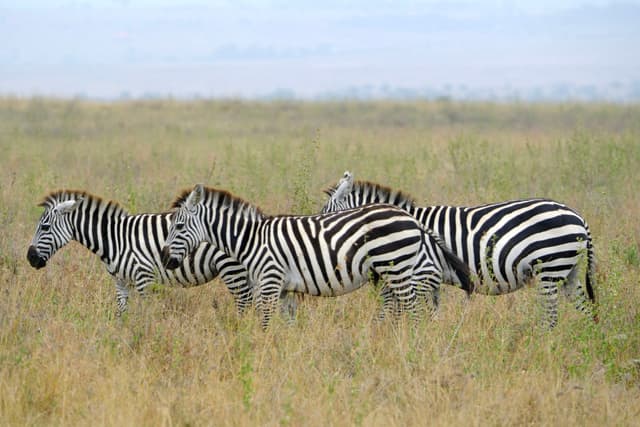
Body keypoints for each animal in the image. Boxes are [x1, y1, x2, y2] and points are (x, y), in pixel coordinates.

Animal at [27, 190, 254, 315]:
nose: (30, 258)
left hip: (232, 270)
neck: (114, 240)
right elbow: (121, 314)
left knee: (244, 303)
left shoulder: (144, 278)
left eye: (45, 227)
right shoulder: (120, 282)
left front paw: (146, 338)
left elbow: (145, 315)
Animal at [160, 184, 472, 329]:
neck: (251, 238)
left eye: (179, 226)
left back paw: (411, 344)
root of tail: (410, 217)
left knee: (414, 310)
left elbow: (264, 321)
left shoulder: (269, 281)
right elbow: (285, 324)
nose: (165, 261)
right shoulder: (284, 289)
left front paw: (260, 351)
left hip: (396, 267)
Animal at [322, 171, 598, 329]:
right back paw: (589, 339)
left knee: (551, 315)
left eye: (326, 217)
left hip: (551, 268)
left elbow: (395, 306)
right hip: (568, 270)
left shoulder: (414, 271)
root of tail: (578, 217)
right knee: (584, 307)